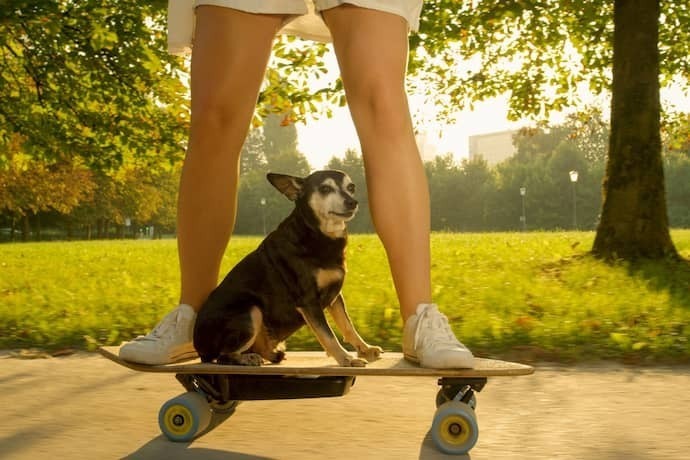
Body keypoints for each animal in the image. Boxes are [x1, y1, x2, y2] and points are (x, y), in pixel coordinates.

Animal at [192, 171, 382, 368]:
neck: (316, 234)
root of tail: (199, 349)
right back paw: (247, 358)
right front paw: (346, 358)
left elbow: (348, 325)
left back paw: (271, 354)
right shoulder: (309, 301)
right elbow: (327, 335)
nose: (352, 202)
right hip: (251, 311)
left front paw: (365, 349)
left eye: (351, 187)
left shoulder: (335, 296)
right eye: (325, 189)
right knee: (223, 355)